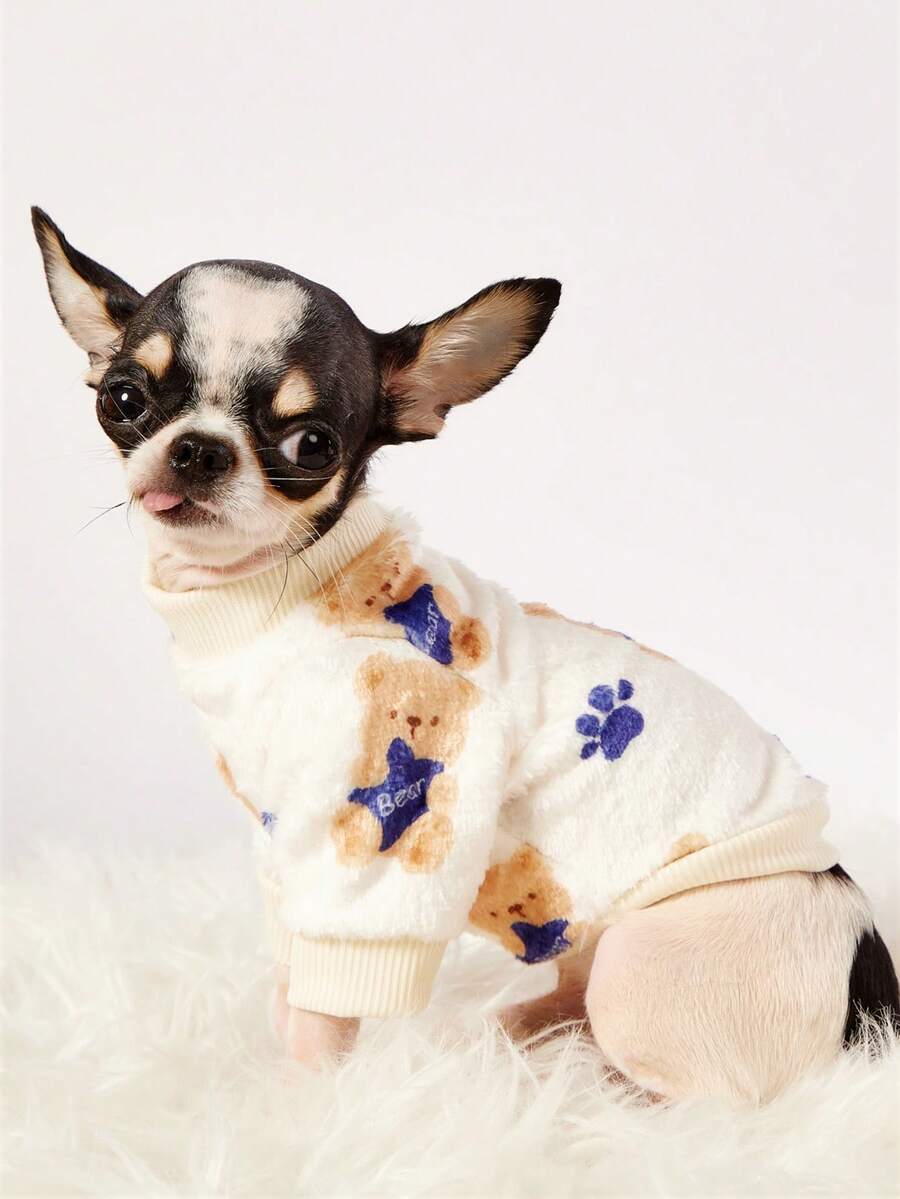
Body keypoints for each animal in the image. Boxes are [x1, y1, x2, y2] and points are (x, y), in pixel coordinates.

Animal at [331, 651, 480, 873]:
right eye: (392, 713)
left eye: (435, 721)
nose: (414, 720)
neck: (409, 759)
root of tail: (388, 851)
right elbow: (365, 768)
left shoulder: (438, 769)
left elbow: (444, 787)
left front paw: (441, 792)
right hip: (363, 810)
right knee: (362, 820)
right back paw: (355, 844)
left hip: (421, 822)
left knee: (431, 828)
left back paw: (422, 850)